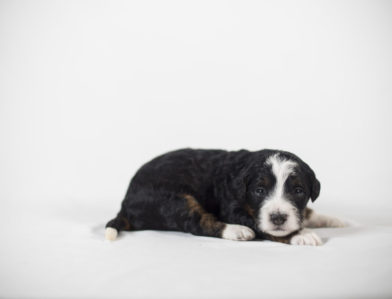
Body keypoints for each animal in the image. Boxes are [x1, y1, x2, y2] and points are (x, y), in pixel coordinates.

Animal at [105, 149, 344, 246]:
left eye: (298, 191)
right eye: (259, 190)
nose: (278, 218)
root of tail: (125, 203)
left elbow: (307, 212)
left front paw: (334, 219)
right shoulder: (232, 209)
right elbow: (266, 228)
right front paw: (301, 235)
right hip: (172, 199)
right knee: (197, 223)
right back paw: (237, 231)